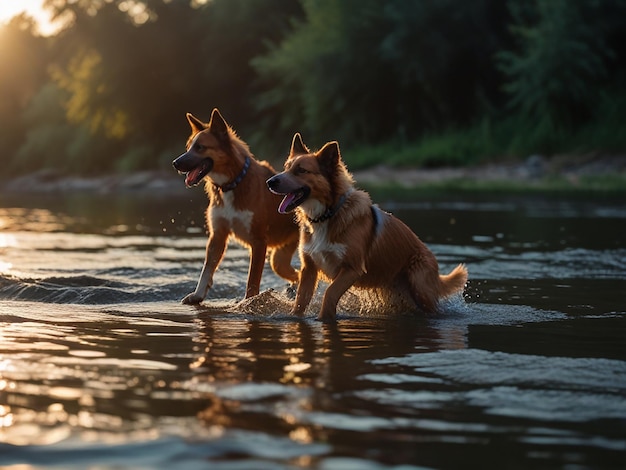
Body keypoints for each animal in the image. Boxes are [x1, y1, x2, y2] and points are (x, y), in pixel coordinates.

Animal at [266, 134, 466, 322]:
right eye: (285, 167)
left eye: (301, 170)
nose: (270, 182)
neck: (328, 214)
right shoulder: (309, 269)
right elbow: (301, 300)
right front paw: (295, 317)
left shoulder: (351, 269)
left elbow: (330, 293)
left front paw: (323, 319)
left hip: (419, 285)